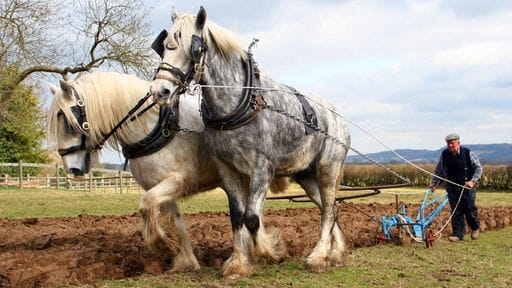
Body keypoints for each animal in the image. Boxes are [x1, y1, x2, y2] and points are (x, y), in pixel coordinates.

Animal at [46, 72, 220, 272]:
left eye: (67, 121)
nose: (72, 168)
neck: (158, 126)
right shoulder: (160, 185)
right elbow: (177, 222)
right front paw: (186, 260)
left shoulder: (178, 180)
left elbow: (145, 206)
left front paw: (165, 246)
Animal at [151, 6, 352, 276]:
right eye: (163, 46)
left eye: (192, 48)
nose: (159, 91)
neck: (241, 103)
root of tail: (337, 114)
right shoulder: (227, 169)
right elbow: (237, 216)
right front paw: (238, 263)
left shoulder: (261, 170)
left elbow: (252, 218)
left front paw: (270, 251)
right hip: (306, 176)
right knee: (330, 209)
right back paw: (337, 253)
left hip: (328, 169)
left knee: (329, 211)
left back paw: (319, 256)